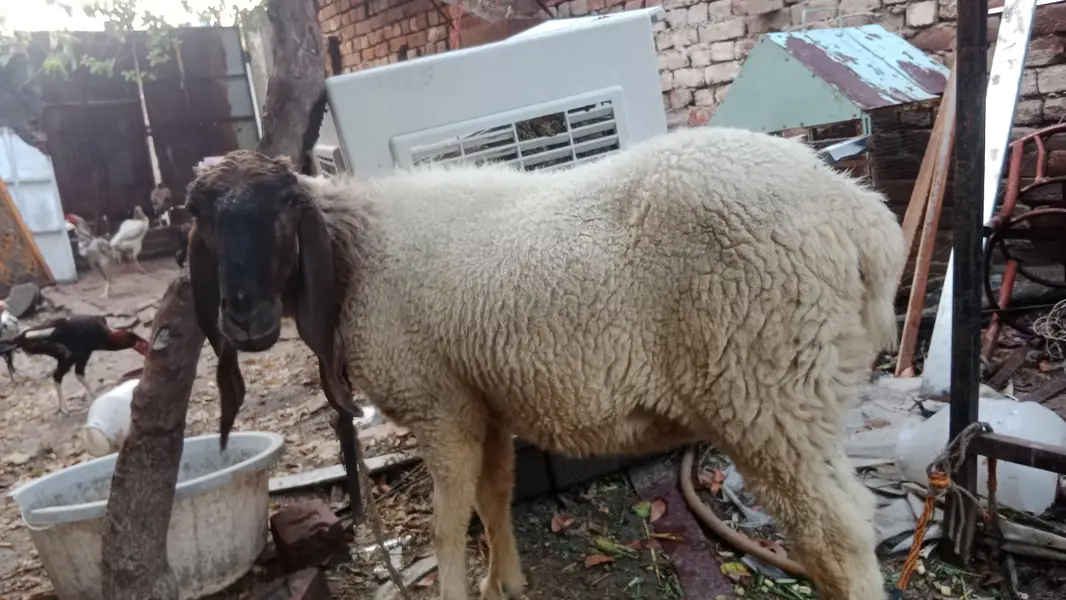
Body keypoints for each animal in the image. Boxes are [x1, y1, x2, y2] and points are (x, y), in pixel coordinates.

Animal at [185, 125, 906, 600]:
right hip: (804, 396)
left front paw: (460, 589)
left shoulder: (439, 406)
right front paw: (503, 583)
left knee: (834, 539)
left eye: (284, 208)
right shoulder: (482, 402)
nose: (242, 317)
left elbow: (447, 524)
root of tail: (862, 218)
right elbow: (493, 498)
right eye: (199, 215)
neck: (357, 252)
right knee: (851, 519)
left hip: (766, 394)